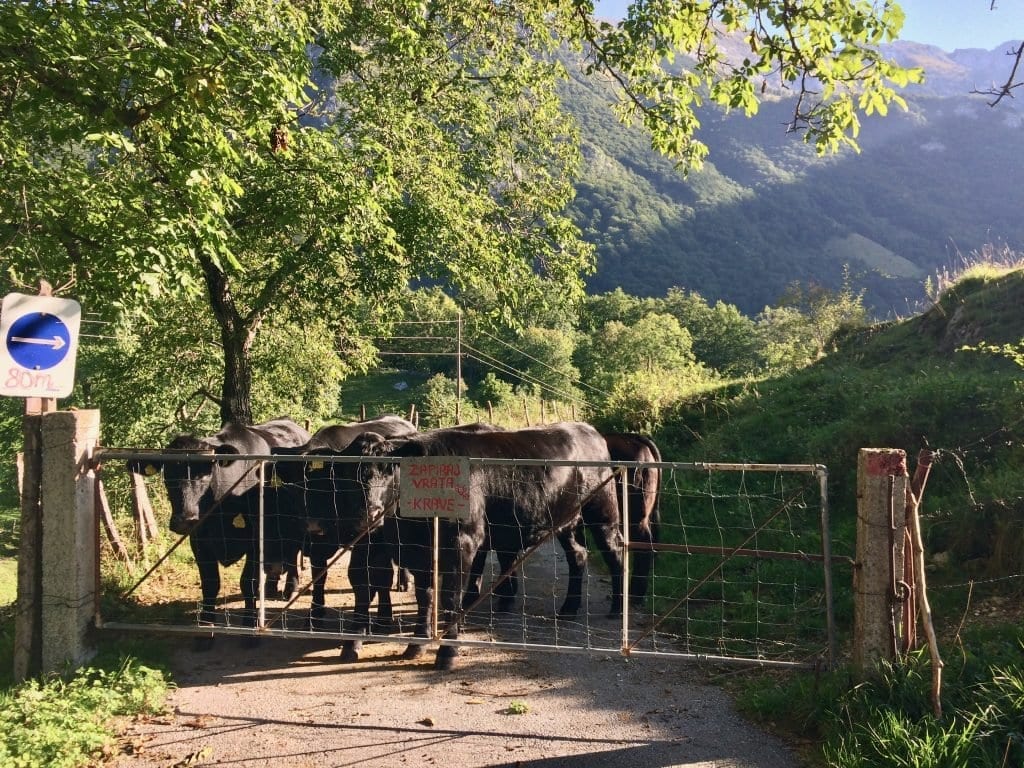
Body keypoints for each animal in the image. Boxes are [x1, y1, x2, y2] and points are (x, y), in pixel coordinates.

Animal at [132, 421, 309, 630]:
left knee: (294, 552)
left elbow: (247, 582)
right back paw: (271, 587)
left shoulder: (255, 539)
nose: (185, 519)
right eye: (167, 474)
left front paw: (249, 620)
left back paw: (290, 588)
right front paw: (207, 620)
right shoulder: (199, 540)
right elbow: (210, 583)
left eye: (206, 473)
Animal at [272, 415, 419, 630]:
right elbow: (320, 575)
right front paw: (315, 615)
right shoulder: (317, 541)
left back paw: (403, 582)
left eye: (325, 483)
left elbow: (374, 575)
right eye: (297, 486)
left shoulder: (371, 537)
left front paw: (380, 618)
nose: (312, 523)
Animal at [319, 423, 622, 671]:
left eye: (390, 470)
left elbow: (450, 598)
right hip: (566, 522)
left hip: (602, 512)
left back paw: (618, 608)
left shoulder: (461, 543)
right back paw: (569, 607)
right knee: (578, 556)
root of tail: (587, 429)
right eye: (345, 475)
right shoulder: (413, 550)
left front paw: (447, 654)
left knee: (615, 551)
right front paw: (415, 644)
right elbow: (419, 595)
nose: (369, 514)